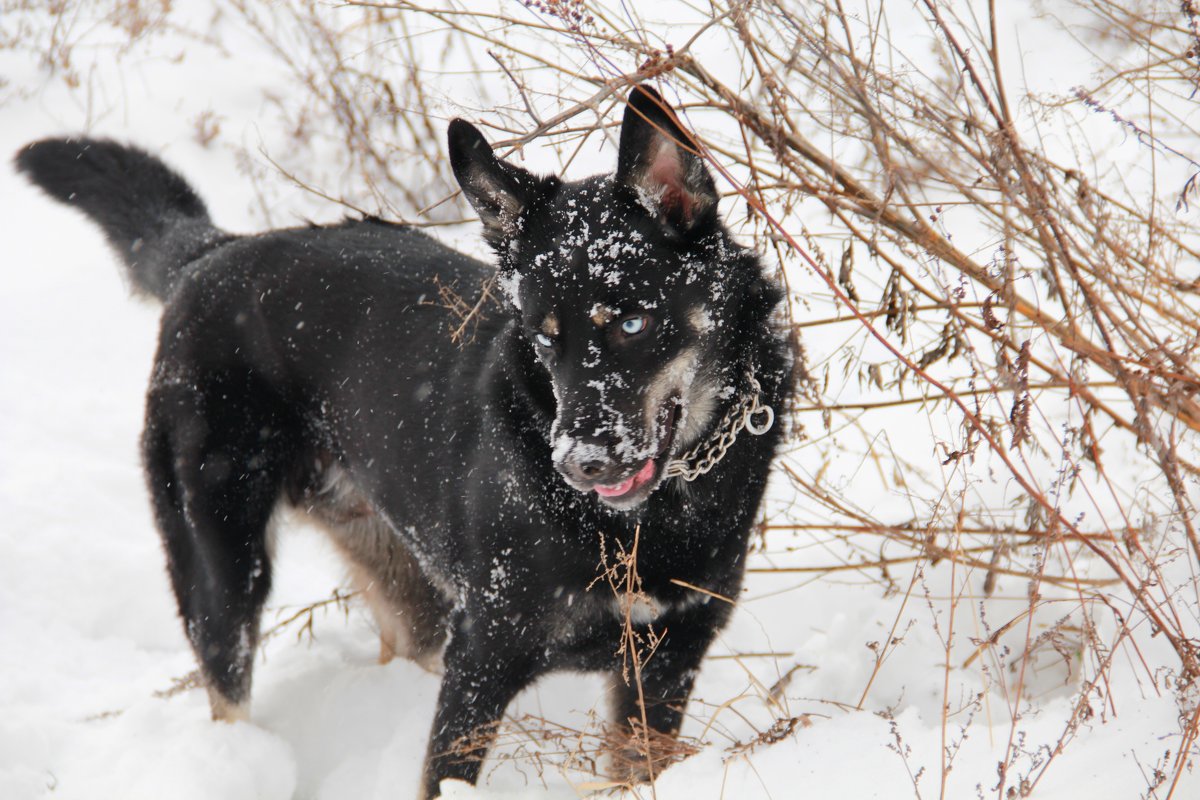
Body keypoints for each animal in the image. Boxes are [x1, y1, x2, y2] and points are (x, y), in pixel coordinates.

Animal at [16, 84, 796, 796]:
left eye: (633, 323)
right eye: (546, 338)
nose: (581, 463)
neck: (654, 514)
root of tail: (212, 255)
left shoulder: (663, 667)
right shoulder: (482, 661)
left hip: (409, 592)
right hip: (223, 568)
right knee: (226, 682)